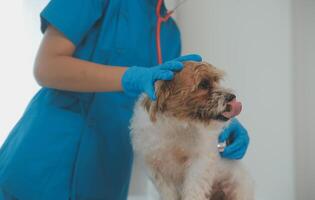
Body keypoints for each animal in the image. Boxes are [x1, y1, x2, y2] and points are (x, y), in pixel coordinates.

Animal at [130, 61, 254, 199]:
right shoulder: (156, 168)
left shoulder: (199, 164)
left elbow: (194, 190)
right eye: (203, 84)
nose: (232, 96)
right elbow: (168, 192)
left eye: (216, 80)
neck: (177, 125)